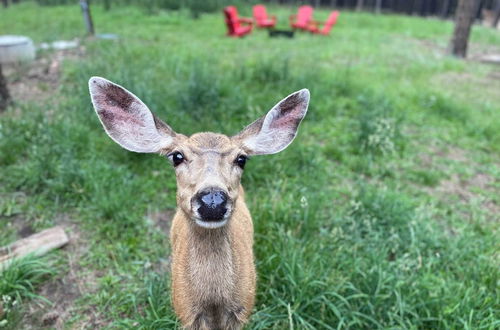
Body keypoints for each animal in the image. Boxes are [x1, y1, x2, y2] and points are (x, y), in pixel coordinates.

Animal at [88, 76, 310, 328]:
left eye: (241, 159)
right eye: (176, 156)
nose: (212, 200)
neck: (213, 302)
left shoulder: (243, 309)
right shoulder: (185, 311)